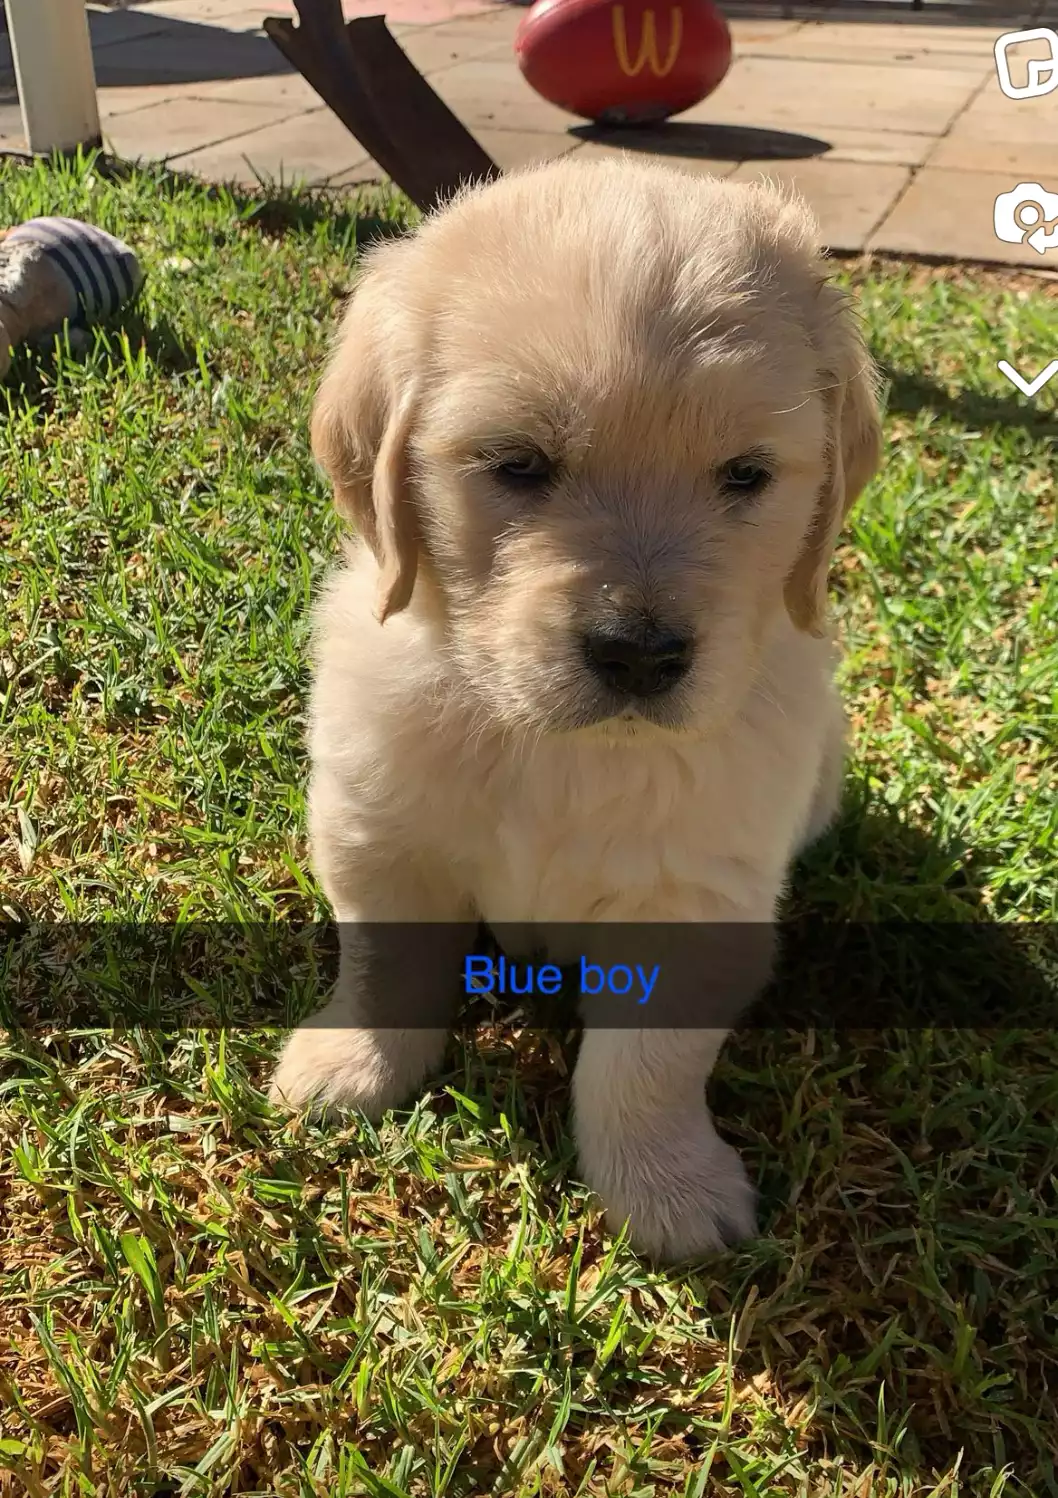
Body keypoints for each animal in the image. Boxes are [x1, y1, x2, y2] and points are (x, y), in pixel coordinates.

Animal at [269, 157, 882, 1263]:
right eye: (517, 464)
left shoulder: (695, 907)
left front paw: (666, 1188)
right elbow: (387, 965)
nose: (640, 653)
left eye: (745, 476)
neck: (558, 751)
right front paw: (352, 1066)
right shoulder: (376, 836)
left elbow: (641, 1070)